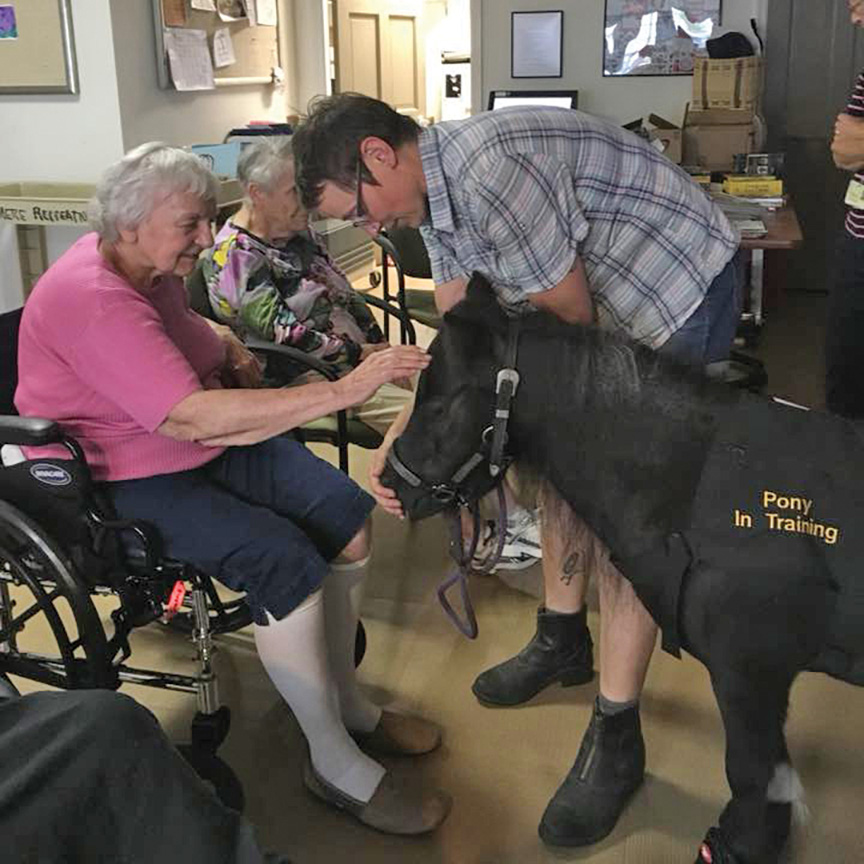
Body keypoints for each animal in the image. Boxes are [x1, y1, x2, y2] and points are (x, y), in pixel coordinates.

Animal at [384, 276, 864, 864]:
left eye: (438, 405)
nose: (391, 484)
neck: (694, 482)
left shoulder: (750, 677)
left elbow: (754, 778)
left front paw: (742, 844)